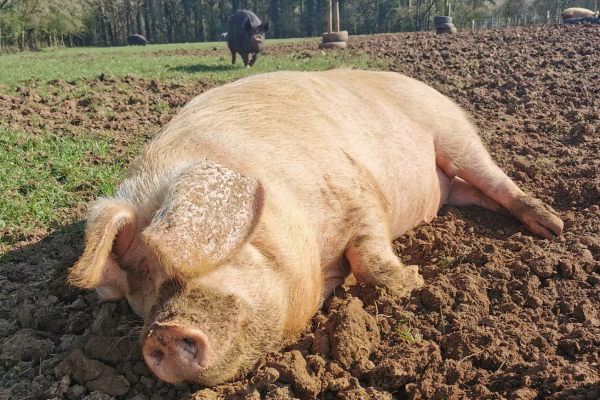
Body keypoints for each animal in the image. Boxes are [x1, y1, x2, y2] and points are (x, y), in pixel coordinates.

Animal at [69, 70, 564, 386]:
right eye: (143, 275)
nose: (163, 333)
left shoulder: (358, 190)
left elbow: (369, 257)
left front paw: (412, 283)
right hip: (453, 182)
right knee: (472, 194)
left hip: (453, 134)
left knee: (494, 179)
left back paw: (553, 227)